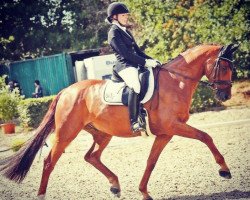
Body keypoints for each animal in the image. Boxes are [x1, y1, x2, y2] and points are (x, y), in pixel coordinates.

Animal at [0, 43, 238, 200]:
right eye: (225, 67)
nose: (225, 95)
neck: (176, 82)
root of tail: (65, 91)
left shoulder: (165, 132)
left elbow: (151, 161)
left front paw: (144, 192)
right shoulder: (173, 126)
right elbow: (205, 136)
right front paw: (224, 170)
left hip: (103, 133)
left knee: (91, 156)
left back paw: (115, 185)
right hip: (67, 132)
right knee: (50, 161)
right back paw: (42, 194)